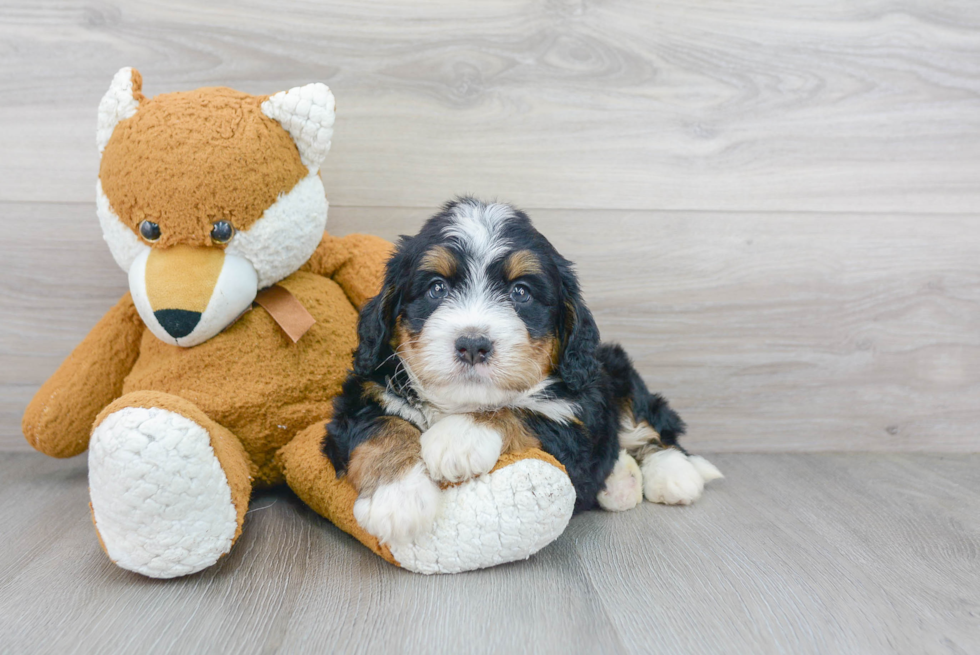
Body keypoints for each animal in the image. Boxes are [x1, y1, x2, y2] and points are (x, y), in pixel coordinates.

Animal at [322, 197, 720, 544]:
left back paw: (675, 476)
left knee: (654, 427)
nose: (473, 344)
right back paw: (622, 482)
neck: (457, 403)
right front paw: (399, 499)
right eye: (436, 288)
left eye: (521, 292)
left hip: (616, 369)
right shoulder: (359, 398)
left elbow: (519, 411)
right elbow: (383, 429)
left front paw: (458, 439)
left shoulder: (576, 425)